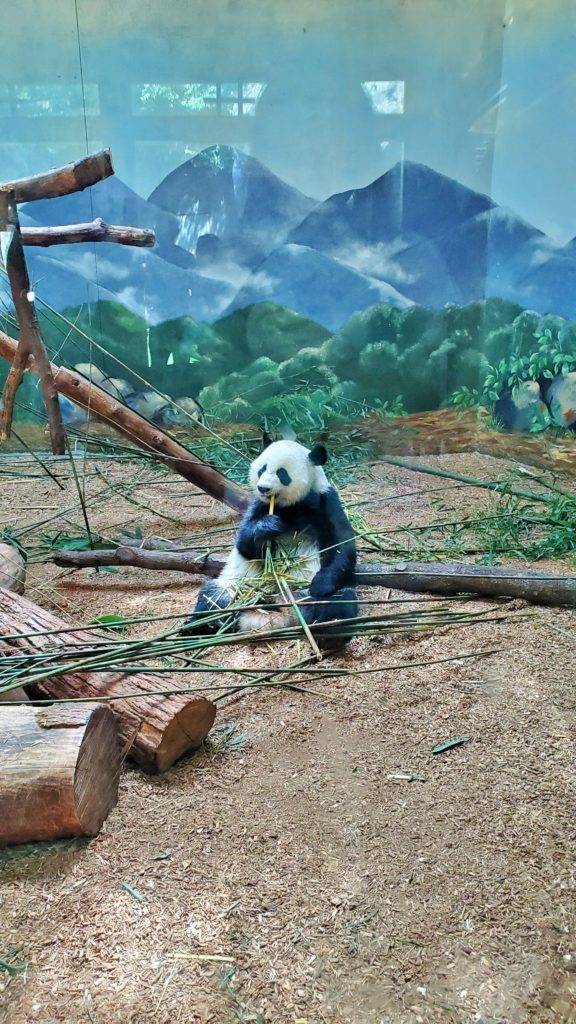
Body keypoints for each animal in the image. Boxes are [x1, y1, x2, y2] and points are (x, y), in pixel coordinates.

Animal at [186, 436, 356, 643]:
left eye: (282, 474)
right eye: (262, 469)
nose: (263, 488)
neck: (289, 506)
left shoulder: (326, 501)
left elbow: (343, 546)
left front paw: (320, 584)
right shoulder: (259, 505)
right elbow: (244, 543)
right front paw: (268, 527)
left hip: (303, 594)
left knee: (339, 602)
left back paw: (330, 629)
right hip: (238, 587)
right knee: (213, 596)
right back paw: (202, 625)